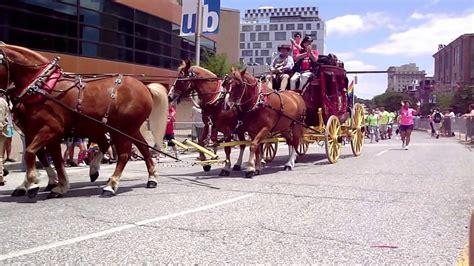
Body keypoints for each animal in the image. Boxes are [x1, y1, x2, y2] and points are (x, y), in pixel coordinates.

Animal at [0, 43, 169, 197]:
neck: (40, 87)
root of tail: (145, 87)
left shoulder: (51, 130)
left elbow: (32, 153)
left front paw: (34, 183)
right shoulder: (32, 131)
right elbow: (48, 157)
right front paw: (55, 184)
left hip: (122, 129)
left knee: (124, 154)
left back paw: (111, 185)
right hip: (123, 128)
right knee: (141, 148)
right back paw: (149, 178)